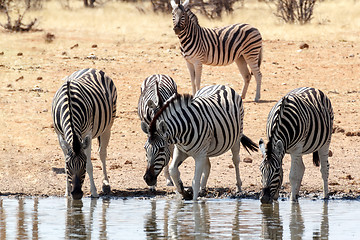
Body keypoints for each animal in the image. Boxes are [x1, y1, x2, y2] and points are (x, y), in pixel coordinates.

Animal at [51, 68, 116, 200]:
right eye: (68, 165)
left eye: (83, 164)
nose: (76, 194)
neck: (70, 106)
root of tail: (92, 69)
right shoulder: (60, 135)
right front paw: (67, 193)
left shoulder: (88, 133)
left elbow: (90, 166)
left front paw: (94, 192)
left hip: (108, 124)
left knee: (102, 153)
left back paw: (106, 184)